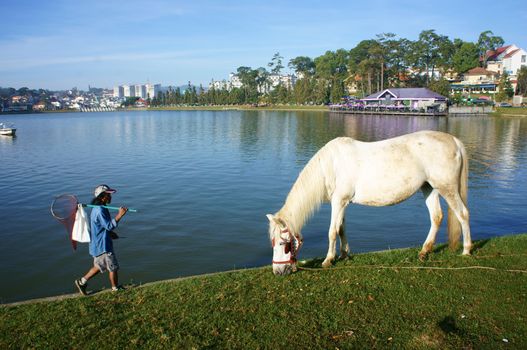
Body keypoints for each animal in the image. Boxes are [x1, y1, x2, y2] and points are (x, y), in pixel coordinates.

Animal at [268, 130, 474, 274]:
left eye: (283, 244)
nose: (278, 271)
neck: (331, 165)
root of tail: (454, 140)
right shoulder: (343, 203)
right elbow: (341, 229)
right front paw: (344, 254)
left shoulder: (338, 202)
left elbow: (332, 231)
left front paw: (328, 260)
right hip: (429, 188)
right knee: (436, 217)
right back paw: (424, 251)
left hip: (447, 188)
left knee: (463, 214)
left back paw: (466, 250)